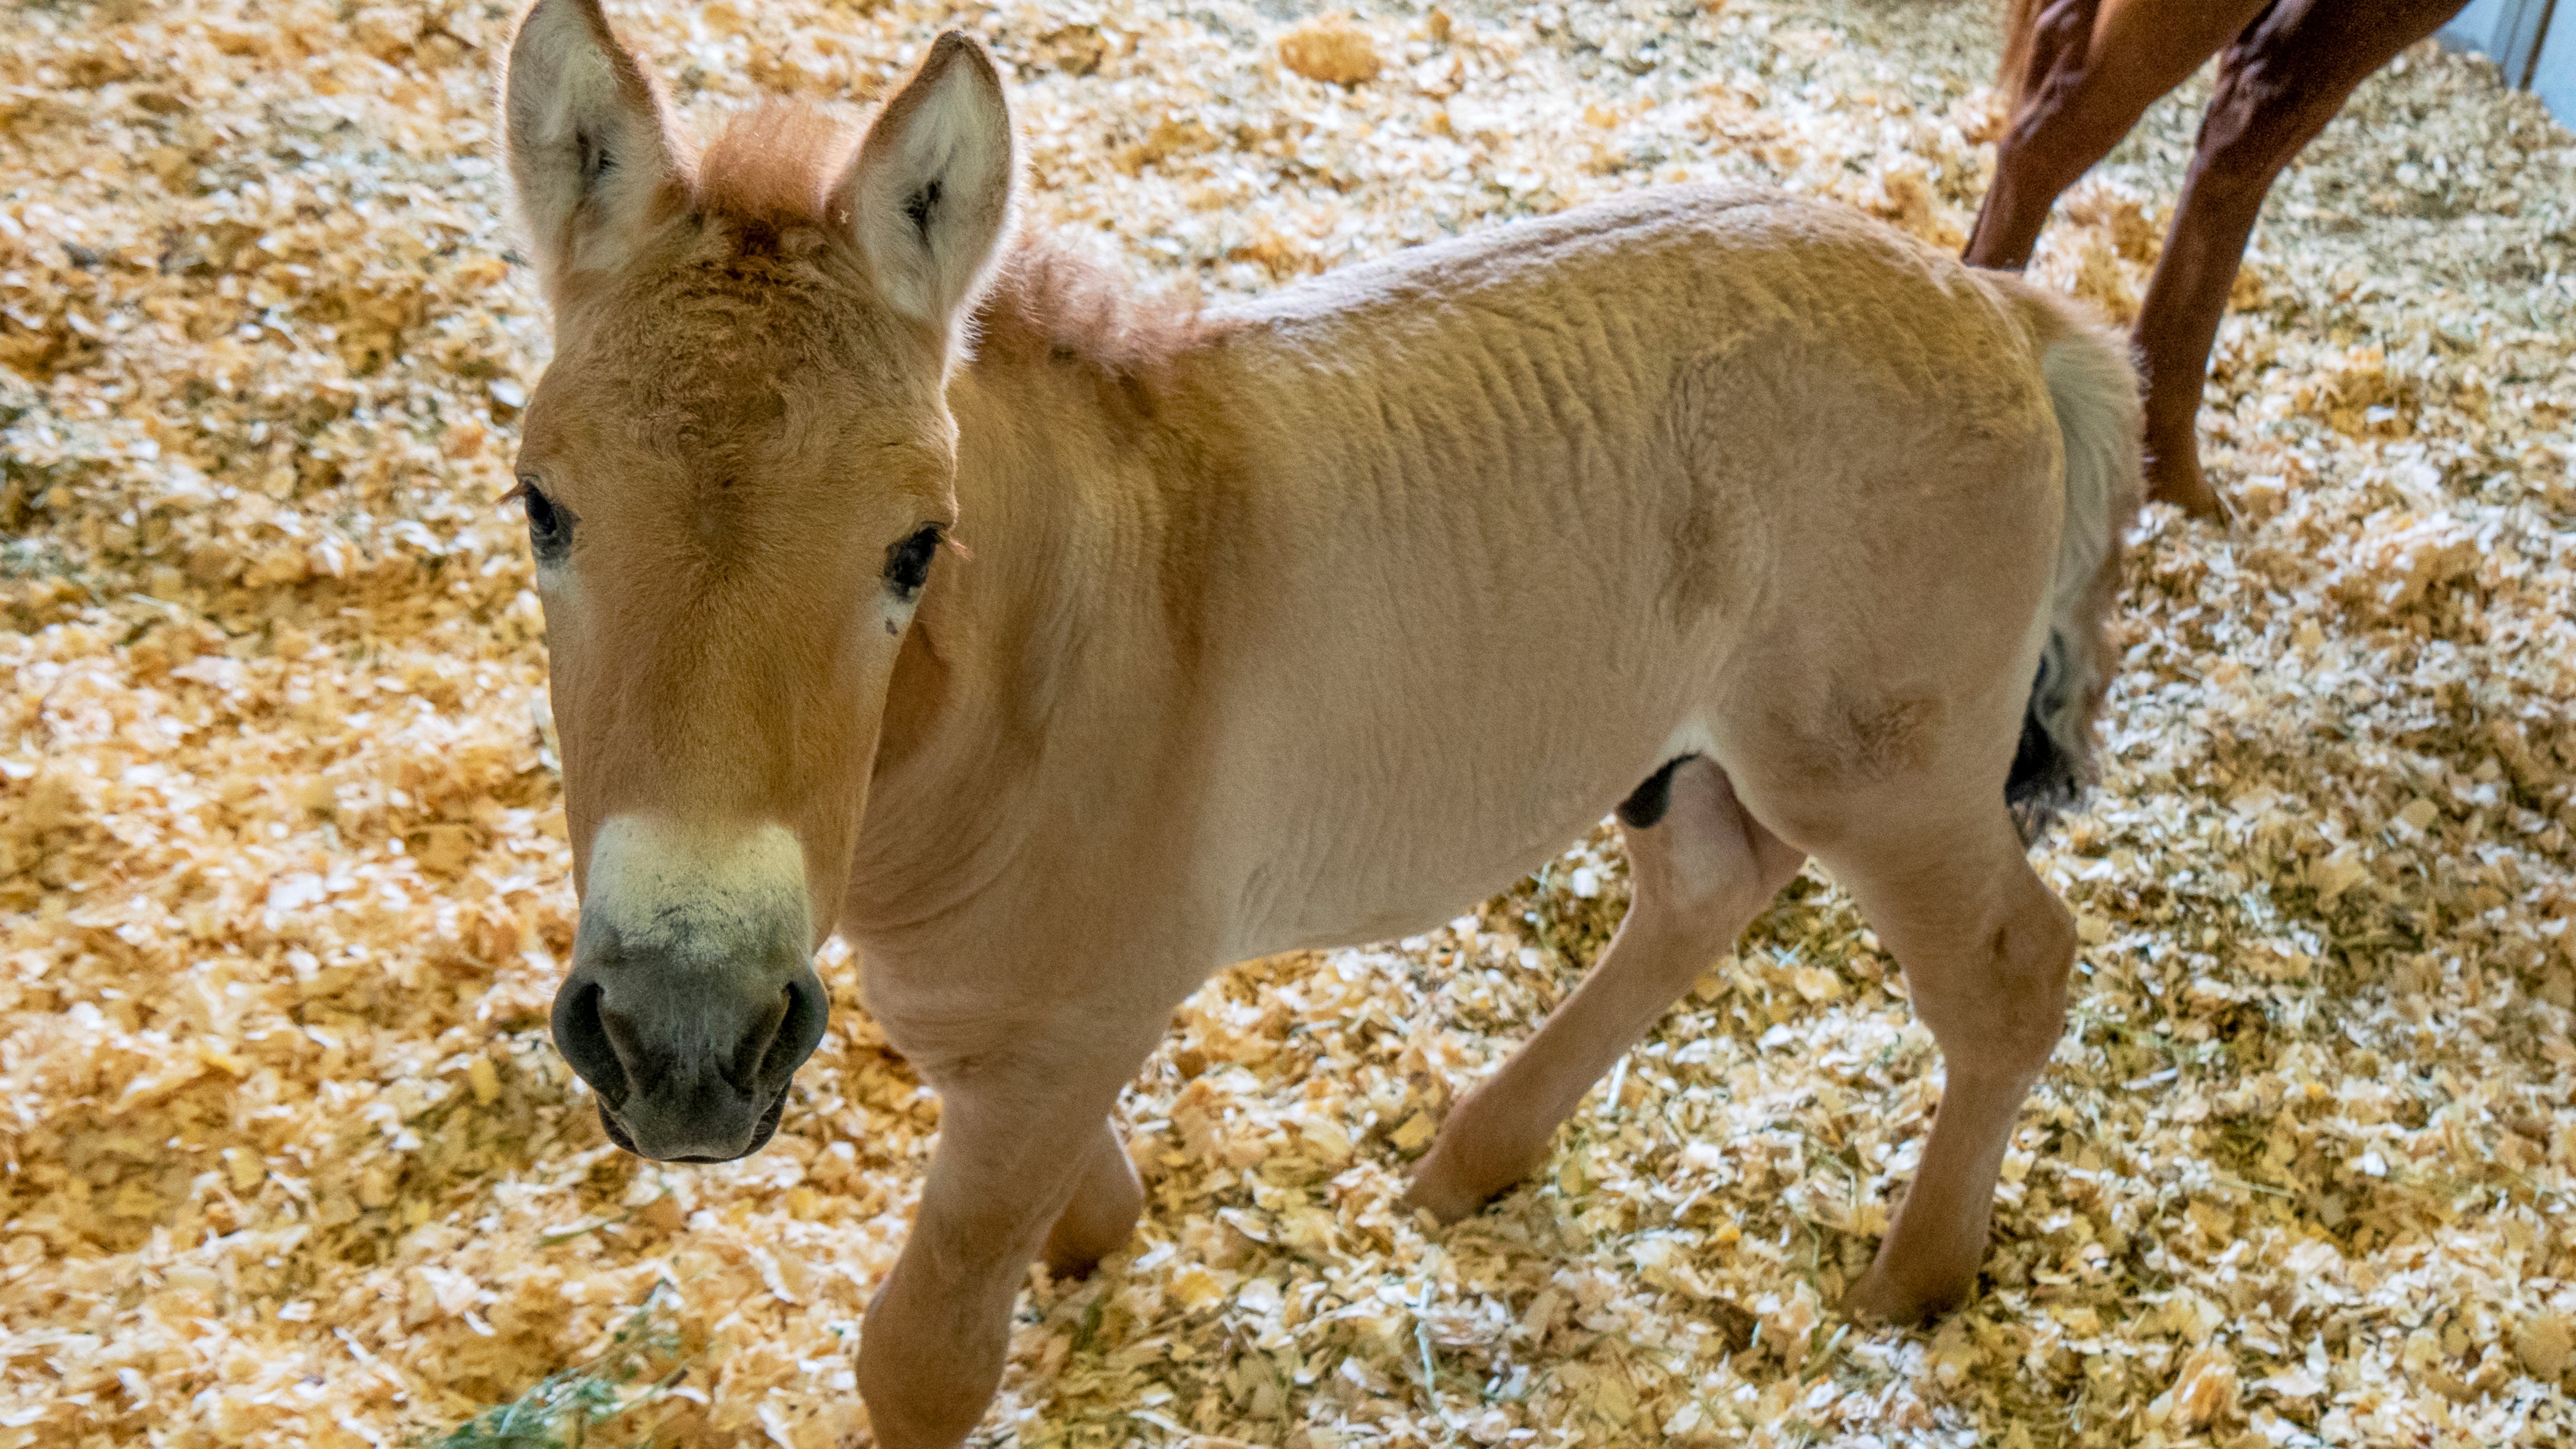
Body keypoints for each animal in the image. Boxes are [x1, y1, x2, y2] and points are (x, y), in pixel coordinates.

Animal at [492, 6, 2143, 1433]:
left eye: (914, 547)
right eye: (541, 508)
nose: (681, 1040)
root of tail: (1997, 307)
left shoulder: (1070, 1029)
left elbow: (928, 1354)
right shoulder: (987, 1014)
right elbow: (1055, 1180)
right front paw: (1103, 1241)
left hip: (1884, 773)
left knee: (2010, 973)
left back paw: (1914, 1279)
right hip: (1690, 748)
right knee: (1706, 888)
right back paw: (1476, 1158)